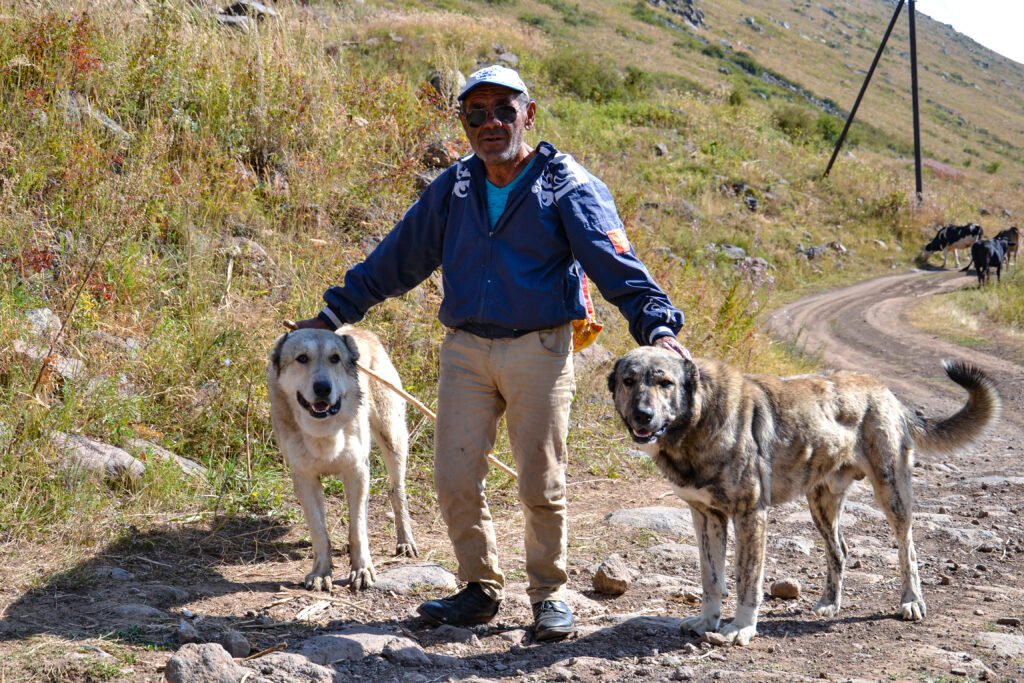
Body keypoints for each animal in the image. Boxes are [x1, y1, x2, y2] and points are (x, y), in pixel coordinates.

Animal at [272, 327, 419, 589]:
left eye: (335, 358)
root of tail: (359, 330)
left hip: (392, 440)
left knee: (397, 491)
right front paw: (321, 573)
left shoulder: (357, 472)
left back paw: (405, 541)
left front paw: (362, 570)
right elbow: (320, 533)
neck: (323, 432)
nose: (323, 388)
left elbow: (358, 529)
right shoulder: (305, 479)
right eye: (302, 358)